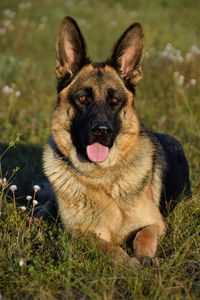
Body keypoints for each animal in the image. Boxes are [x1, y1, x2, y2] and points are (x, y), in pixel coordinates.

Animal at [41, 16, 191, 266]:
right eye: (82, 98)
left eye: (115, 101)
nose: (102, 131)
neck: (102, 177)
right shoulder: (81, 232)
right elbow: (108, 247)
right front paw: (128, 261)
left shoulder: (155, 223)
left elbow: (143, 236)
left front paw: (145, 259)